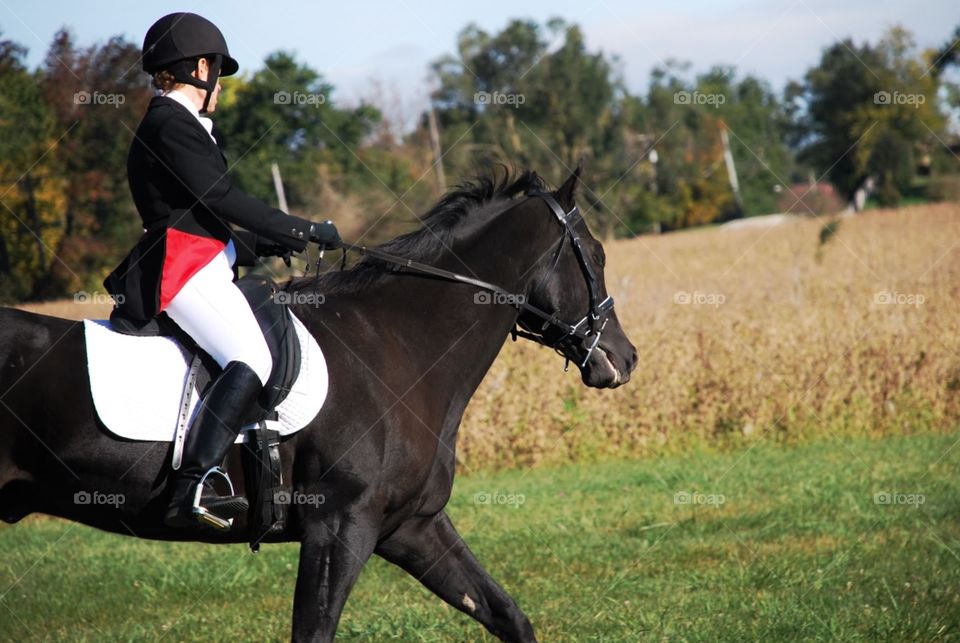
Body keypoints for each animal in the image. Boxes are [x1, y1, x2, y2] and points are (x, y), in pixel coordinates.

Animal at [0, 167, 637, 642]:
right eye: (596, 254)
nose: (623, 359)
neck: (399, 343)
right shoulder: (340, 527)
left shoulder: (412, 527)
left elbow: (507, 615)